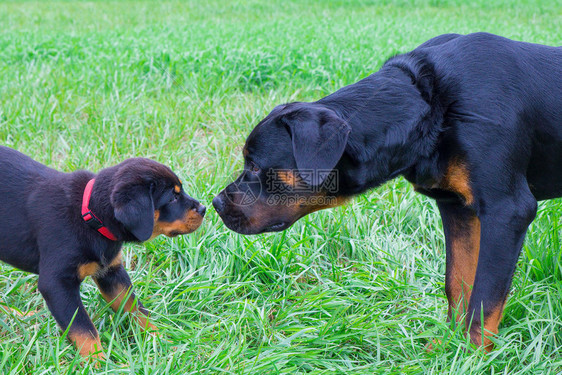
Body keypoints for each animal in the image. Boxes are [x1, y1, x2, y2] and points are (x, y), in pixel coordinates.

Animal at [0, 146, 206, 362]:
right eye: (173, 198)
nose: (204, 208)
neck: (89, 215)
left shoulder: (111, 272)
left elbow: (135, 308)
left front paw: (160, 341)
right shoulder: (57, 283)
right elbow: (83, 328)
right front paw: (97, 361)